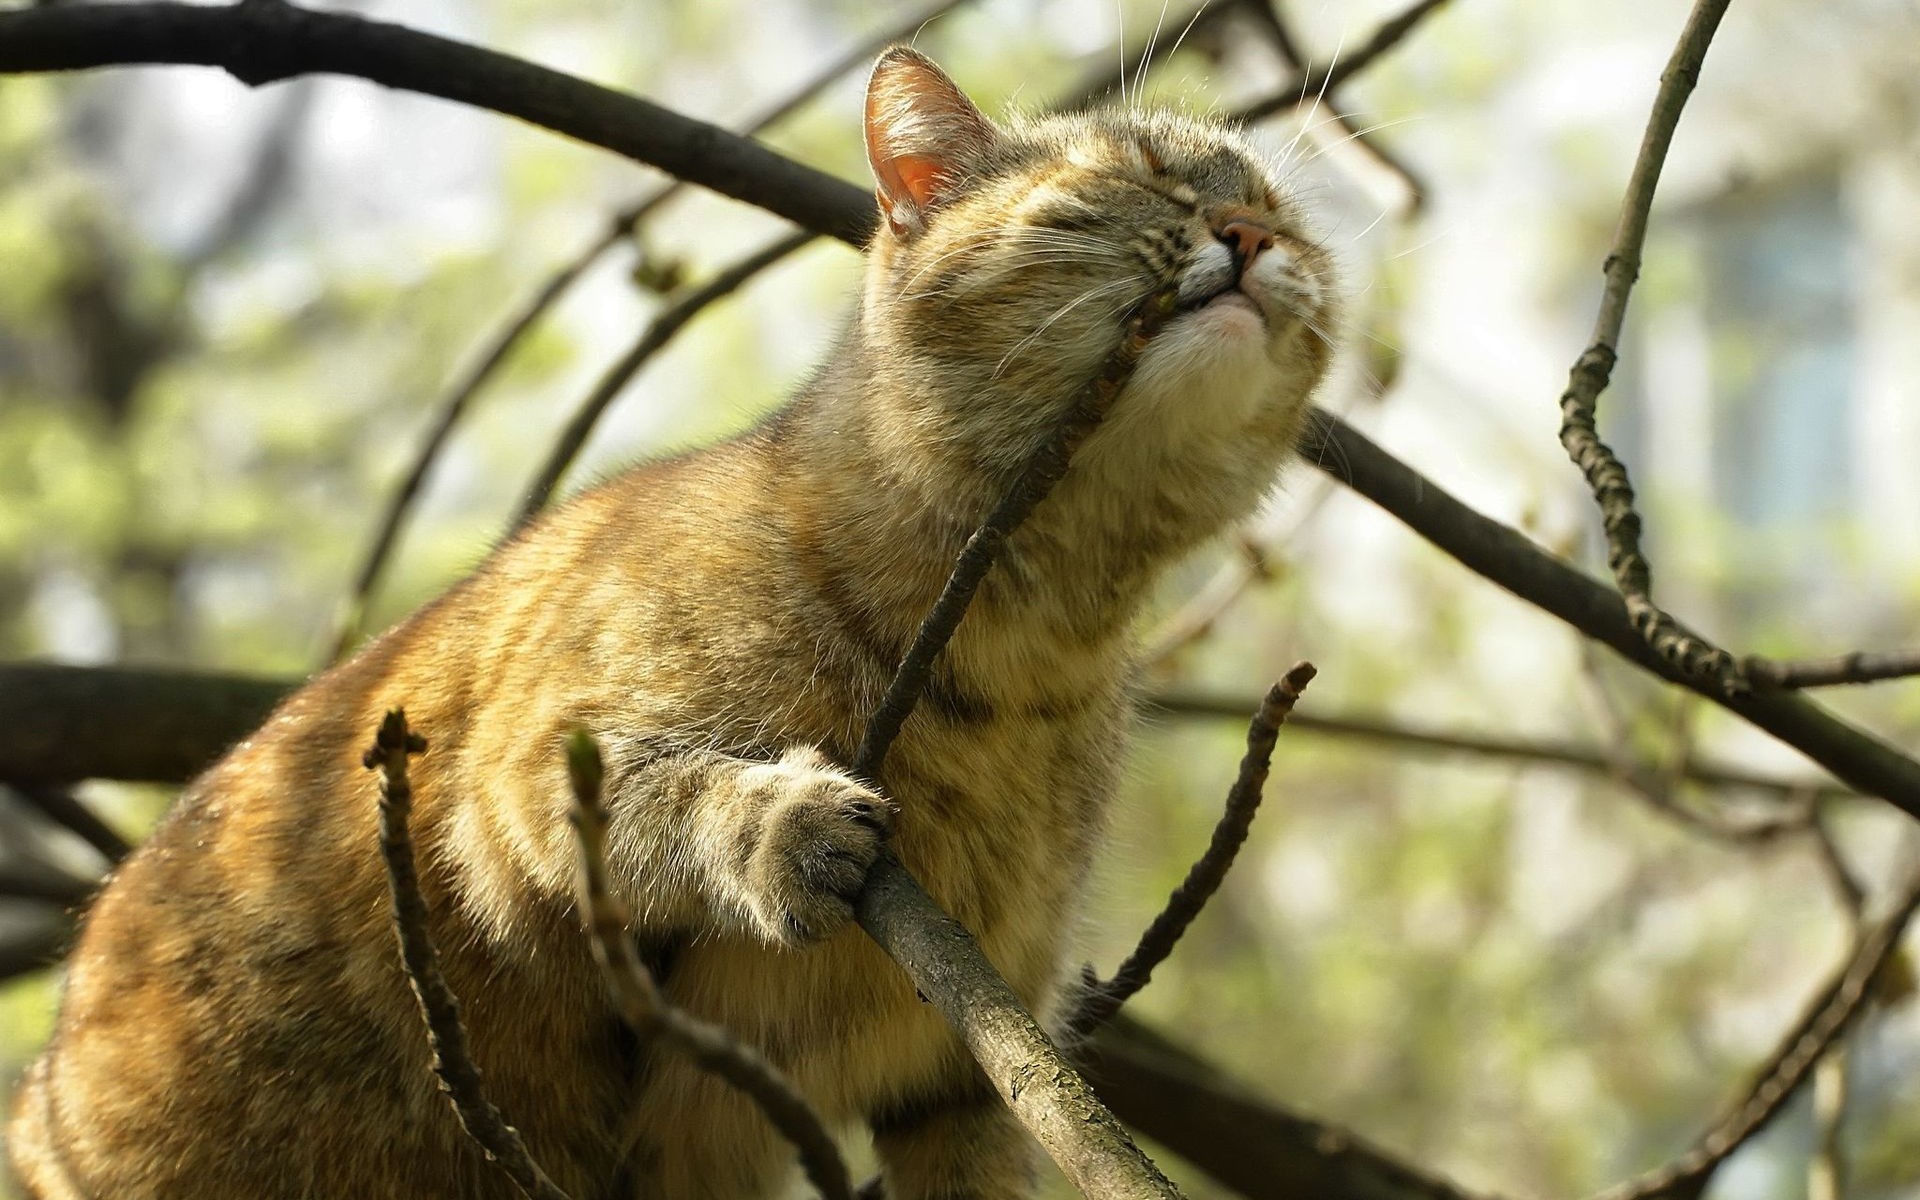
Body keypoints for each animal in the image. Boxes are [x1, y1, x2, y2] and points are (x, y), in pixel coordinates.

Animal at [3, 44, 1336, 1198]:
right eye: (1138, 179)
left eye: (1285, 212)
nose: (1253, 236)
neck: (1028, 640)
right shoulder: (516, 782)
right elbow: (673, 796)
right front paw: (782, 826)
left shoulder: (963, 1075)